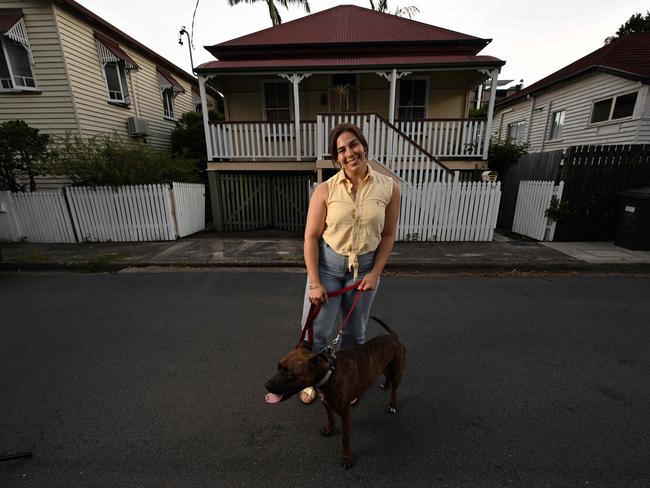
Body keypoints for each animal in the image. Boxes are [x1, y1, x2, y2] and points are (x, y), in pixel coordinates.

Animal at [262, 316, 402, 468]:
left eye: (289, 373)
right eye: (278, 366)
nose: (266, 385)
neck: (328, 376)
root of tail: (393, 337)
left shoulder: (346, 414)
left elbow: (345, 438)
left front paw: (346, 457)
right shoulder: (326, 403)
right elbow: (330, 417)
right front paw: (330, 429)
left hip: (397, 372)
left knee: (394, 389)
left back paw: (392, 405)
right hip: (383, 366)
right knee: (386, 374)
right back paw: (385, 384)